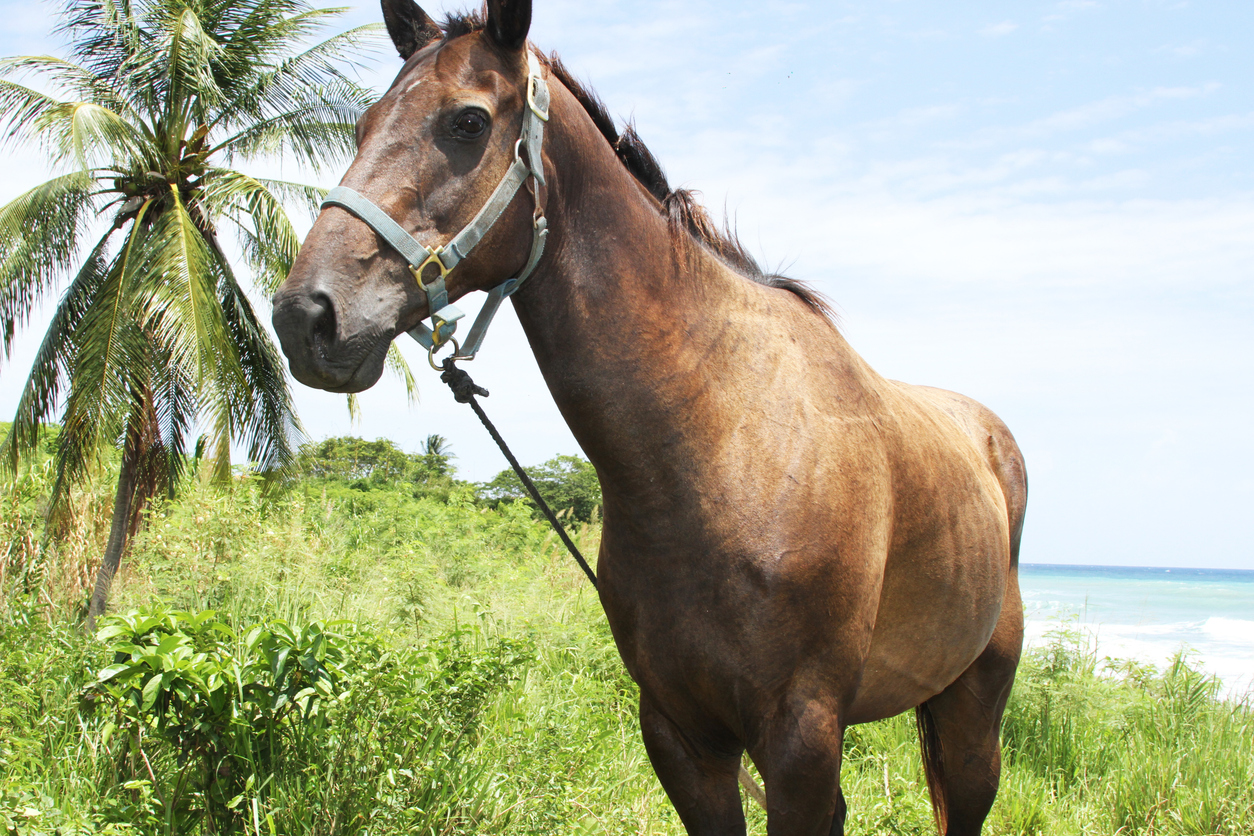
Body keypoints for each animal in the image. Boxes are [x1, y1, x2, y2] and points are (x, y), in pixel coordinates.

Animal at [272, 1, 1028, 833]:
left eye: (466, 122)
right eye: (362, 126)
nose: (305, 316)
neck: (721, 444)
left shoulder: (801, 735)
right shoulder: (680, 734)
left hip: (973, 717)